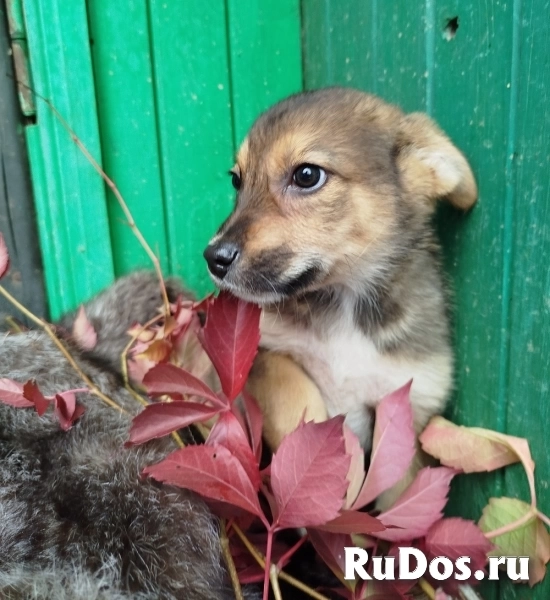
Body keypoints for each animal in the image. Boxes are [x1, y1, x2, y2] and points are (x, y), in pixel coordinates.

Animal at [205, 86, 476, 504]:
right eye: (237, 180)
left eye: (307, 175)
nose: (213, 258)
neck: (343, 302)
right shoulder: (265, 353)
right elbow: (296, 399)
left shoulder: (410, 407)